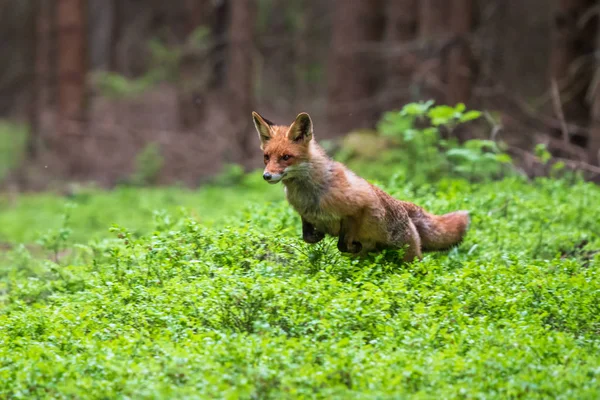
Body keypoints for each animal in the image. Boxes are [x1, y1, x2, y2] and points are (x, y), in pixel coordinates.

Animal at [251, 111, 472, 260]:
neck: (309, 194)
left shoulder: (358, 208)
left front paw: (351, 244)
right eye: (266, 157)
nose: (266, 176)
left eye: (286, 157)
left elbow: (343, 243)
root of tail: (406, 207)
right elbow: (308, 237)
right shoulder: (305, 213)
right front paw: (319, 234)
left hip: (409, 256)